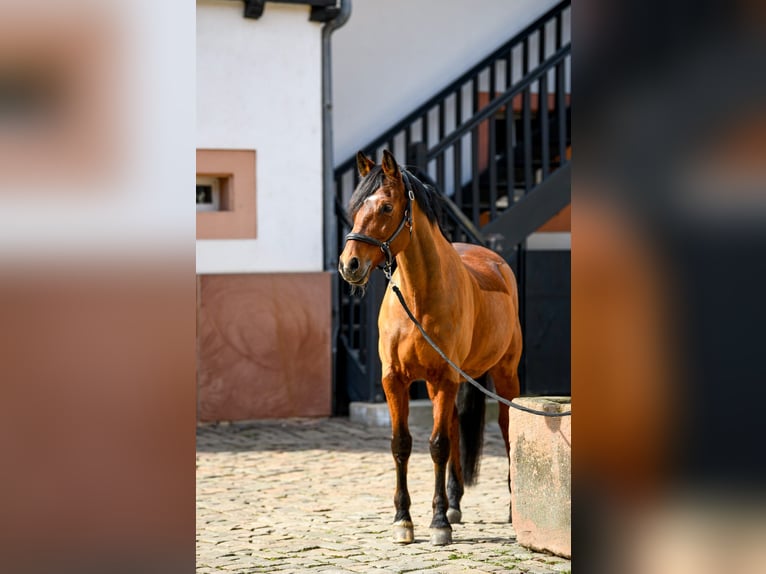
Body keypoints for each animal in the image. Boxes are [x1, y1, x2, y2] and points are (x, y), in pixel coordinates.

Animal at [338, 149, 523, 546]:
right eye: (355, 207)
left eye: (386, 207)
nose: (349, 265)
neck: (418, 298)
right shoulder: (395, 380)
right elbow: (402, 444)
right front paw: (403, 520)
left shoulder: (443, 378)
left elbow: (437, 445)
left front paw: (438, 523)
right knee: (453, 426)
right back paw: (455, 502)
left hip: (503, 375)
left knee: (505, 426)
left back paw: (513, 508)